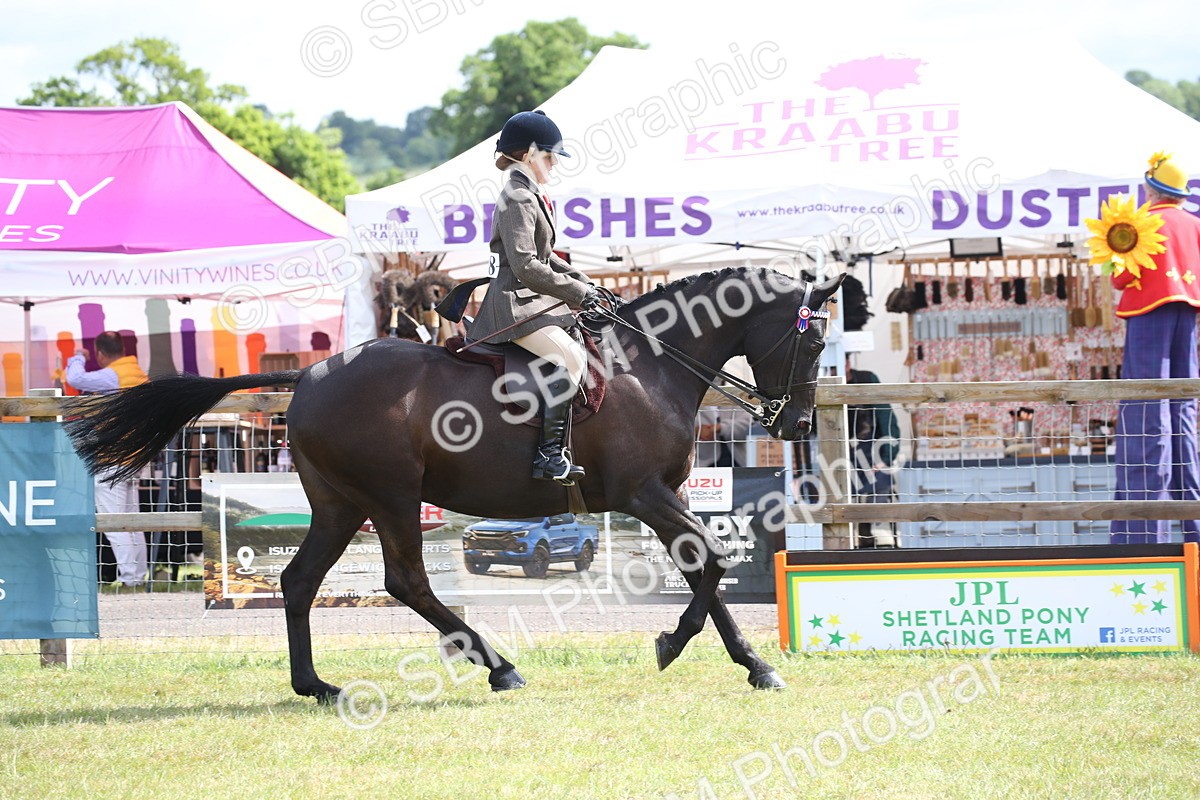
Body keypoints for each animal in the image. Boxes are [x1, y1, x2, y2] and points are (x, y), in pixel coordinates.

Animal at [63, 266, 843, 703]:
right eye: (811, 339)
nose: (799, 422)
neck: (649, 364)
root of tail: (310, 376)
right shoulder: (640, 493)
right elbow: (708, 561)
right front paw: (677, 645)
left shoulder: (663, 495)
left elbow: (705, 565)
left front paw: (751, 664)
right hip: (391, 497)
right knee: (406, 580)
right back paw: (500, 668)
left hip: (340, 503)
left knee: (300, 581)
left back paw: (315, 686)